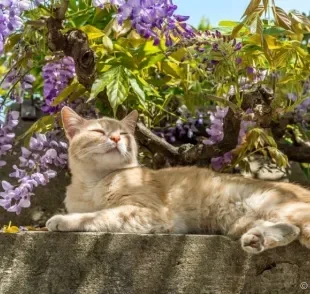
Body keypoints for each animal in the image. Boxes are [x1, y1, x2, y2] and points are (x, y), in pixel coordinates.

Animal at [45, 107, 310, 254]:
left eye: (124, 134)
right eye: (99, 132)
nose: (116, 138)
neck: (95, 183)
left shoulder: (148, 212)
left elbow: (98, 216)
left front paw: (62, 220)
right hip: (245, 221)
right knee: (292, 229)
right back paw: (256, 240)